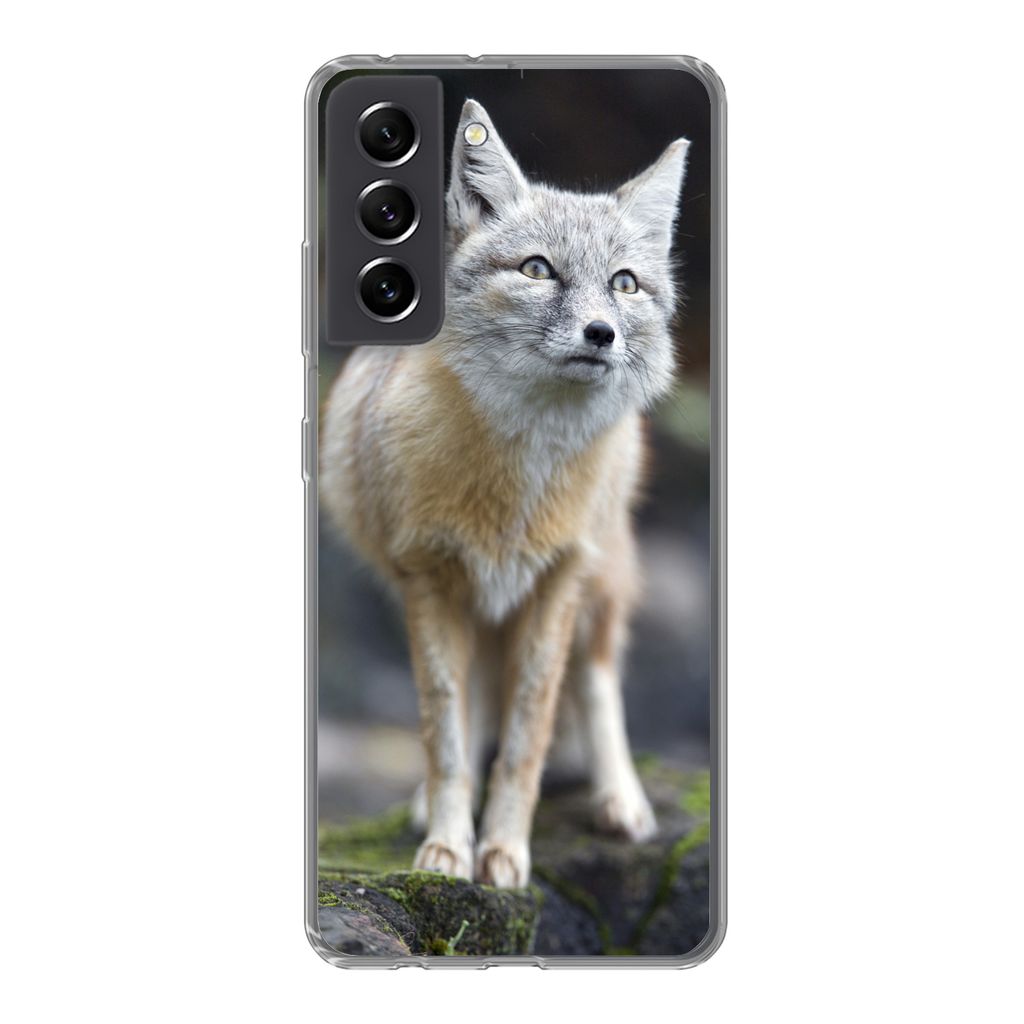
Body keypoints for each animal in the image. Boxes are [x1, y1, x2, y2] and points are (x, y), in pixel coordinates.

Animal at [320, 99, 689, 889]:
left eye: (624, 283)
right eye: (537, 270)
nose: (601, 333)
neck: (516, 489)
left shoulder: (556, 583)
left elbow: (529, 735)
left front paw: (506, 851)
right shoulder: (429, 579)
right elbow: (446, 732)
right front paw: (449, 847)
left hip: (598, 583)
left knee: (597, 678)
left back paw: (621, 798)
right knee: (475, 701)